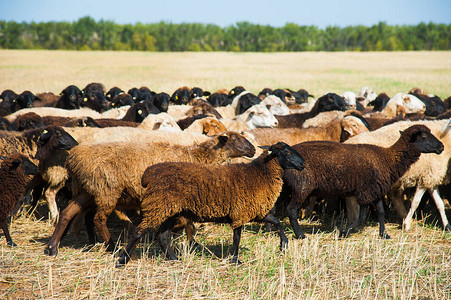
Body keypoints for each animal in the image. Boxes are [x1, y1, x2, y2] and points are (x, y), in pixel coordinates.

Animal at [45, 131, 258, 255]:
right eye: (237, 140)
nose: (254, 150)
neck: (199, 156)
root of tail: (74, 157)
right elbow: (186, 223)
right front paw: (182, 238)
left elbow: (186, 223)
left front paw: (187, 240)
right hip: (108, 190)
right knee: (98, 219)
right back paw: (111, 246)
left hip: (89, 190)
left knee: (67, 214)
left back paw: (52, 247)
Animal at [116, 142, 308, 266]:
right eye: (286, 152)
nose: (303, 164)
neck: (261, 173)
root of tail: (148, 174)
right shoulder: (241, 212)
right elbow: (237, 238)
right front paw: (236, 260)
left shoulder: (255, 211)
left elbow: (276, 222)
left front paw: (284, 244)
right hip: (157, 207)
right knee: (138, 231)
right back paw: (122, 260)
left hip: (169, 210)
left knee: (162, 236)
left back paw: (174, 259)